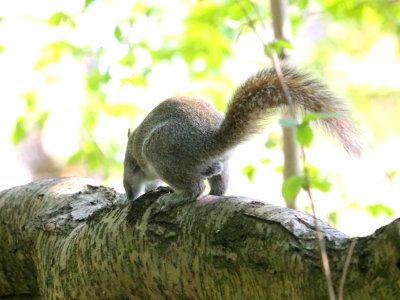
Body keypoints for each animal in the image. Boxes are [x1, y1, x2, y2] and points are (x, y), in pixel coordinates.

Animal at [122, 66, 362, 209]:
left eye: (126, 163)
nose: (129, 197)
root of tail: (211, 141)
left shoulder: (137, 165)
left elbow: (135, 180)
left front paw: (135, 194)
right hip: (222, 163)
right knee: (217, 186)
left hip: (161, 152)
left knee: (196, 189)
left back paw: (176, 197)